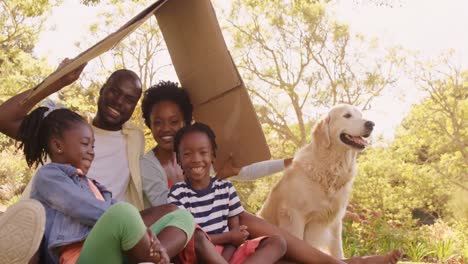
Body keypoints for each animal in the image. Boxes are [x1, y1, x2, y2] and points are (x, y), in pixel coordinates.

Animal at [258, 103, 374, 258]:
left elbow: (337, 250)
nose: (371, 124)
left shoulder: (336, 221)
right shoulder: (294, 216)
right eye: (347, 115)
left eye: (361, 116)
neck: (331, 167)